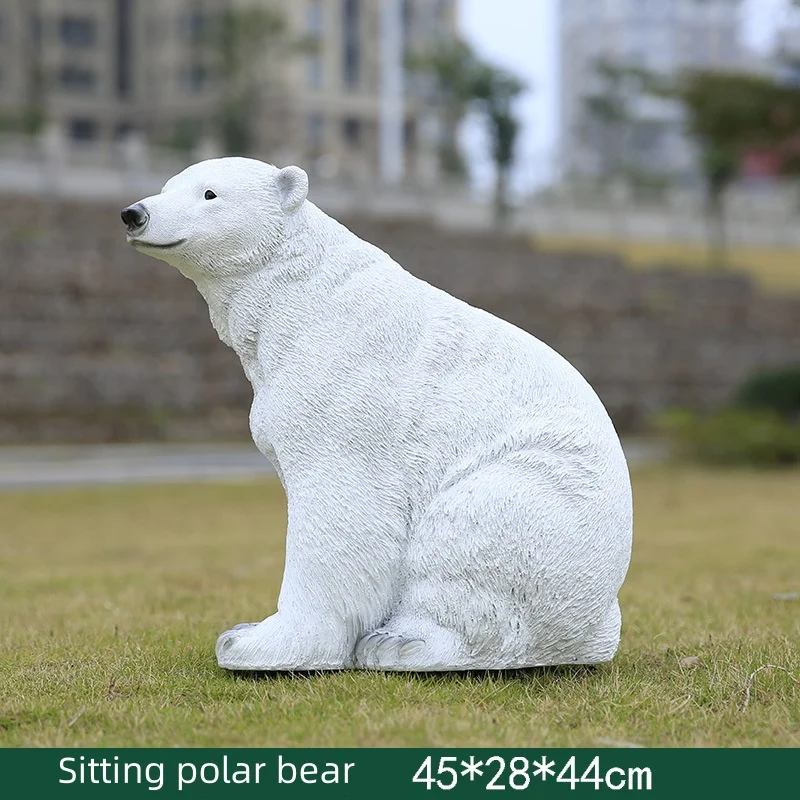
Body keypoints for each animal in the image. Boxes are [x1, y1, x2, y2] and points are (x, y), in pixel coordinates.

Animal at [121, 157, 633, 672]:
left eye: (209, 193)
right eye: (167, 185)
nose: (134, 214)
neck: (298, 296)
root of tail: (597, 628)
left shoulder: (350, 386)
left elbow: (341, 509)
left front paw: (261, 645)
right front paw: (247, 629)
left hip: (537, 500)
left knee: (467, 540)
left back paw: (406, 643)